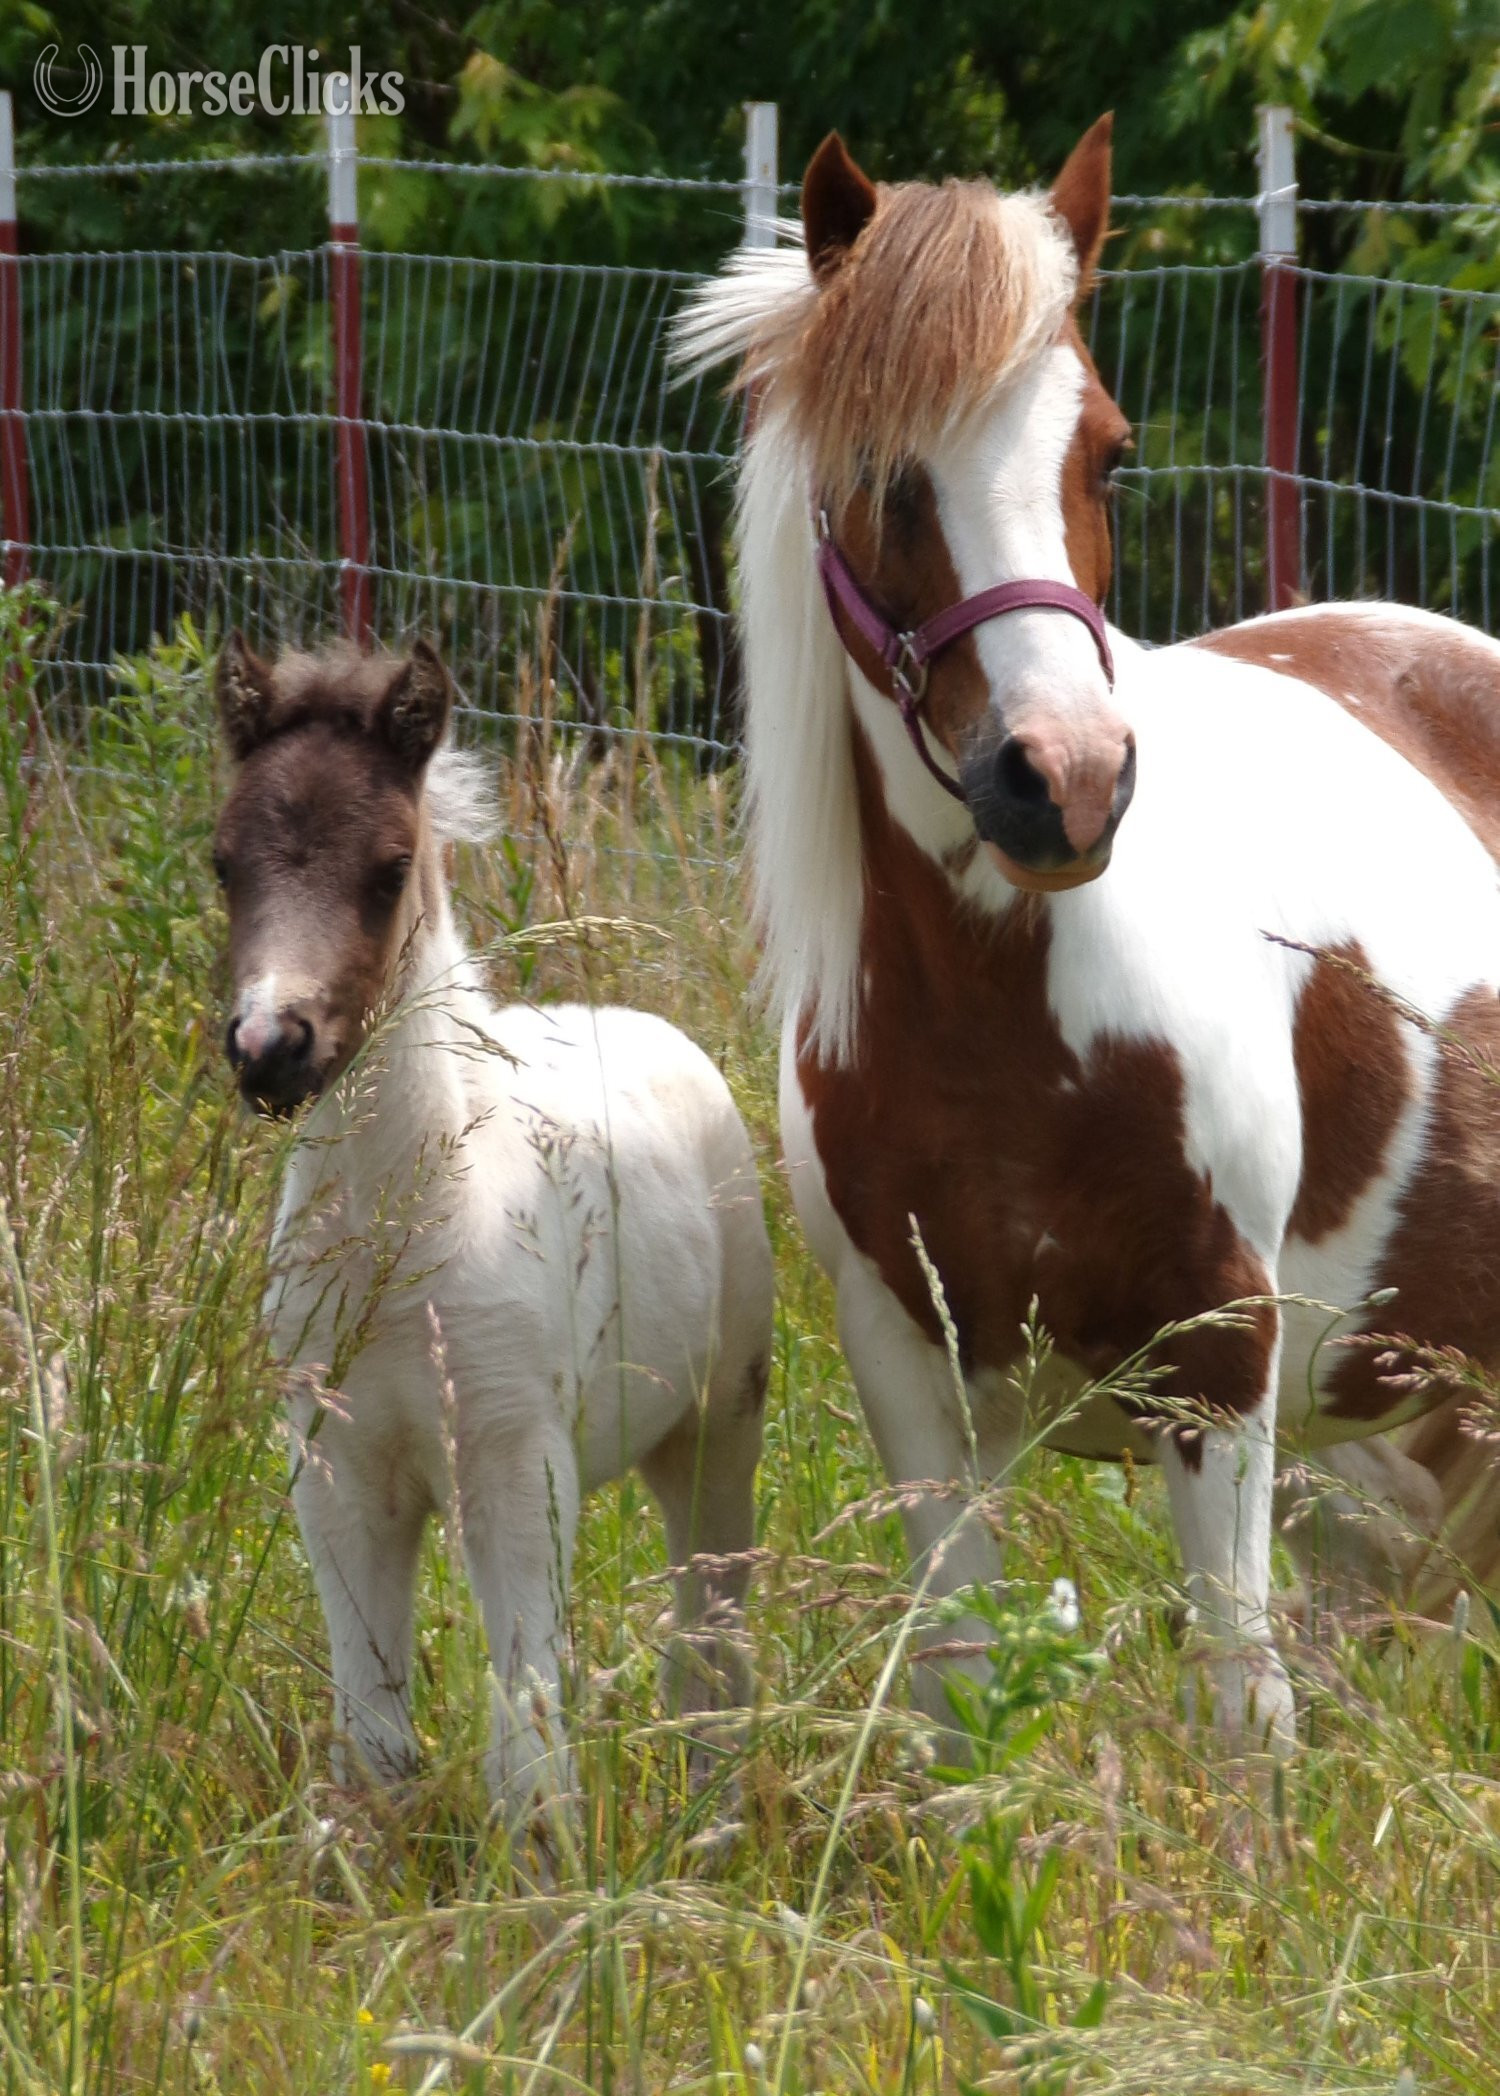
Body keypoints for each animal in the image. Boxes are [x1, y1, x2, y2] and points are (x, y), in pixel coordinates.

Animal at [211, 635, 774, 1818]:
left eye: (388, 869)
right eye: (223, 863)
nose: (270, 1048)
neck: (401, 1235)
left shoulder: (515, 1461)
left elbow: (528, 1739)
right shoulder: (334, 1472)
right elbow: (371, 1736)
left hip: (718, 1421)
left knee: (711, 1640)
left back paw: (714, 1820)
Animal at [674, 115, 1500, 1750]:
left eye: (1108, 450)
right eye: (884, 475)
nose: (1065, 779)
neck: (1012, 1022)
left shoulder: (1220, 1366)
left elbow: (1243, 1713)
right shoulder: (920, 1385)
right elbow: (963, 1695)